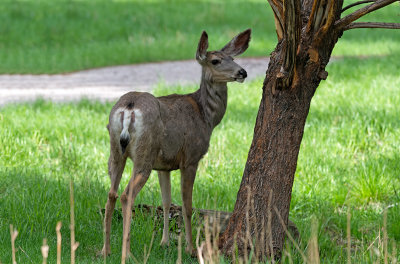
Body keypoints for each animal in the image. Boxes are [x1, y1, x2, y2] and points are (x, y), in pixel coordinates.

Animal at [101, 28, 252, 258]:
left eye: (233, 58)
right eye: (215, 61)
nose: (242, 72)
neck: (206, 117)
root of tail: (129, 108)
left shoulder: (164, 165)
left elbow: (166, 201)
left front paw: (164, 242)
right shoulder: (190, 158)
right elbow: (187, 205)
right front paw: (189, 248)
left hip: (116, 151)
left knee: (111, 193)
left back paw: (105, 250)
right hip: (144, 153)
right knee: (126, 195)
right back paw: (127, 254)